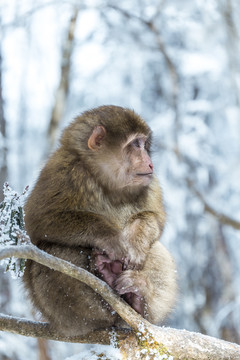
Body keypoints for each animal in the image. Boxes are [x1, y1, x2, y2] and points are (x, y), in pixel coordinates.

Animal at [23, 105, 177, 336]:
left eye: (144, 145)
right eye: (135, 144)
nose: (150, 163)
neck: (108, 183)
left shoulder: (150, 182)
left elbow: (155, 217)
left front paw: (135, 240)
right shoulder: (65, 171)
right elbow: (40, 221)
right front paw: (111, 238)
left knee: (157, 249)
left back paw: (137, 299)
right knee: (52, 252)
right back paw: (102, 300)